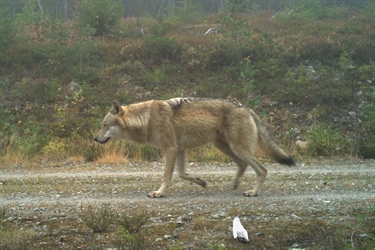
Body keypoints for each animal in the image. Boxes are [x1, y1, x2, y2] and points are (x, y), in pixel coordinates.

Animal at [93, 97, 294, 197]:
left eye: (105, 125)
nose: (94, 138)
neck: (146, 119)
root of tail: (246, 108)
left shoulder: (170, 149)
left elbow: (167, 176)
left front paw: (159, 193)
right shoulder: (180, 149)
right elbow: (182, 174)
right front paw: (201, 182)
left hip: (238, 148)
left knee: (262, 170)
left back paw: (253, 192)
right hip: (226, 147)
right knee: (243, 165)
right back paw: (235, 184)